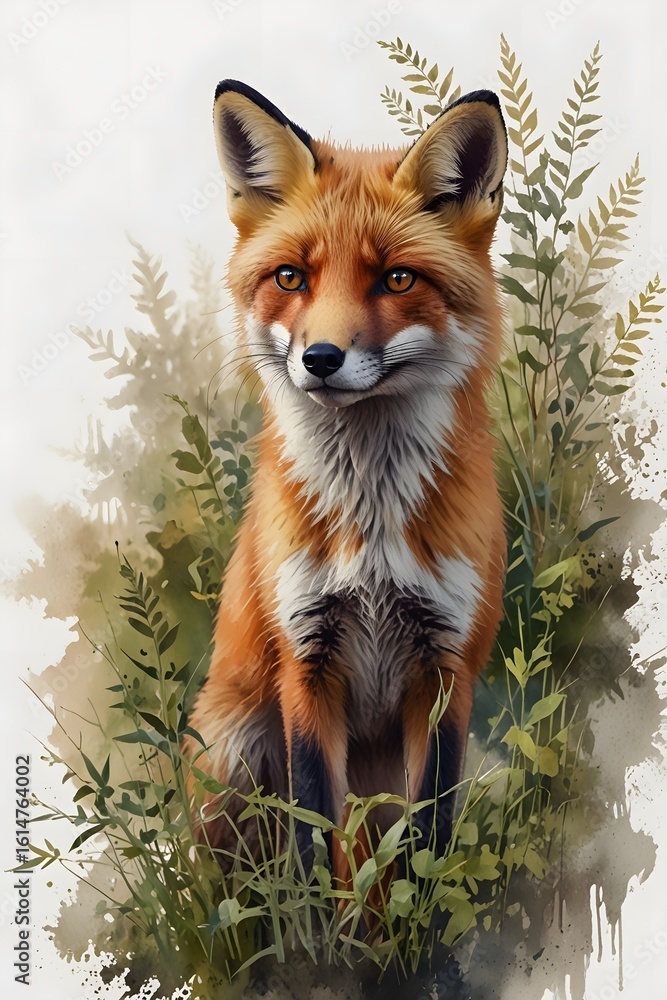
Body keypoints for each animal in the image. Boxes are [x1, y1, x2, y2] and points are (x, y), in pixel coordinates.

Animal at [186, 79, 508, 875]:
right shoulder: (306, 663)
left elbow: (427, 837)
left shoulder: (445, 669)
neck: (371, 528)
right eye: (290, 278)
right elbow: (314, 839)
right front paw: (323, 915)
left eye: (396, 278)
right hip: (234, 756)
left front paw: (418, 910)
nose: (321, 358)